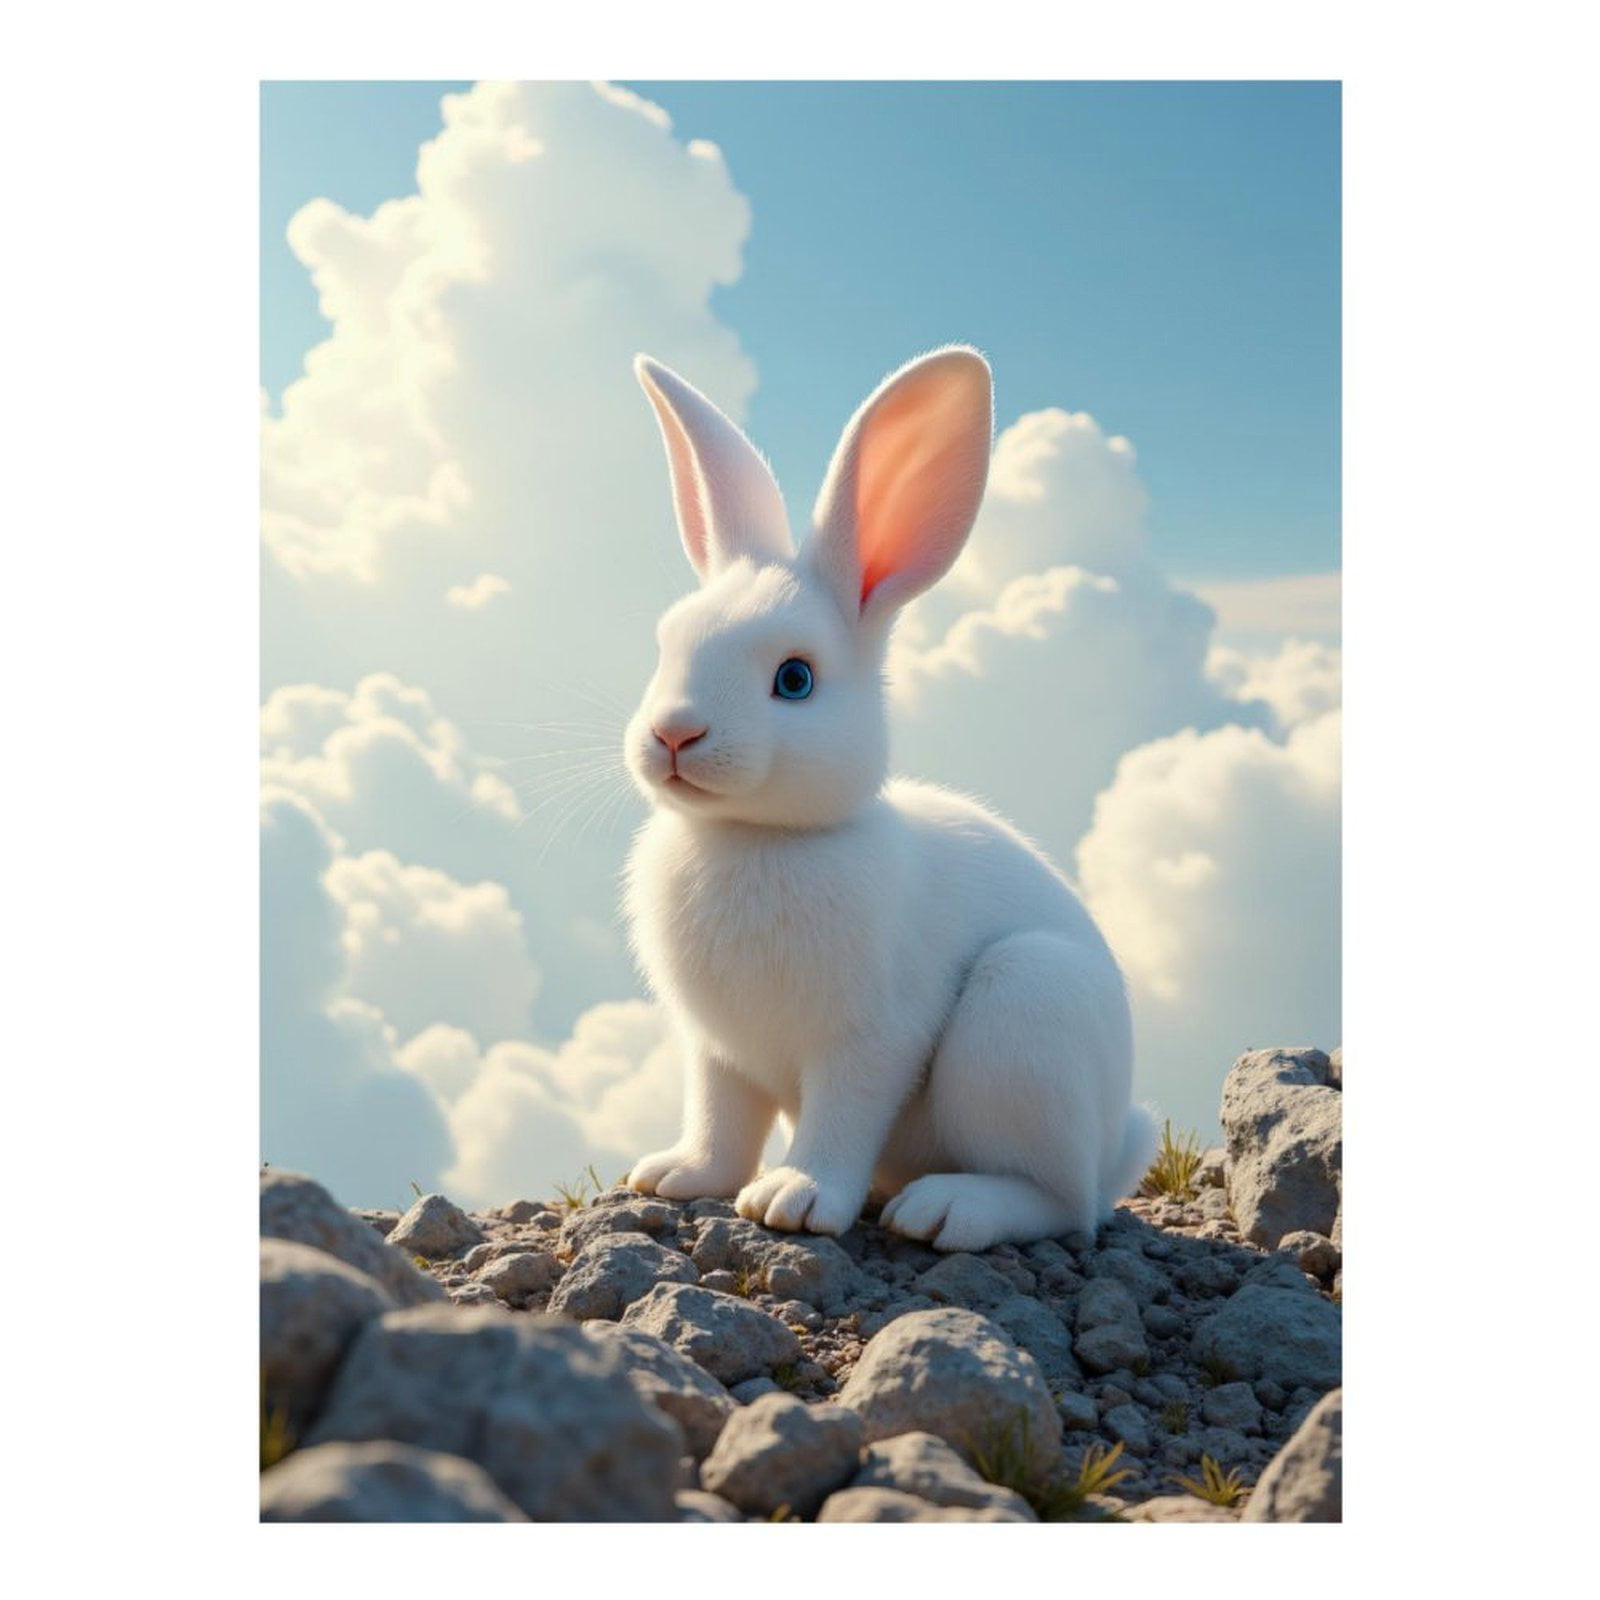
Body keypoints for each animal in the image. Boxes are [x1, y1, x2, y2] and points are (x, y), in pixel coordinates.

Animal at [620, 345, 1157, 1251]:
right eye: (665, 647)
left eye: (795, 680)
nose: (674, 734)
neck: (753, 837)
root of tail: (1122, 1140)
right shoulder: (717, 1052)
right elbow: (722, 1123)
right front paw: (677, 1176)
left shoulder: (871, 1038)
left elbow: (840, 1119)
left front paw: (793, 1200)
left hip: (1026, 1010)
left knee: (1060, 1200)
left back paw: (945, 1209)